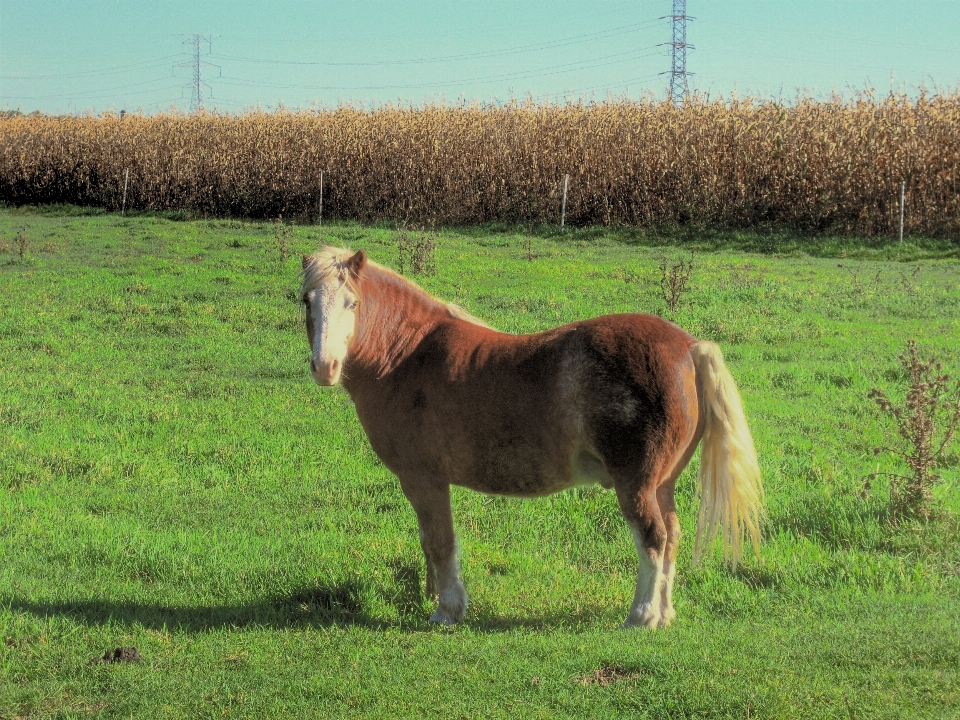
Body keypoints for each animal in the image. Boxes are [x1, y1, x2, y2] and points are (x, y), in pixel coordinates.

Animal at [300, 248, 764, 632]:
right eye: (307, 301)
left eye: (352, 303)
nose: (325, 367)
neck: (405, 355)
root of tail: (688, 346)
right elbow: (430, 542)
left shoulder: (423, 479)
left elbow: (440, 542)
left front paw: (447, 610)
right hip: (661, 484)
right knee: (671, 536)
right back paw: (663, 613)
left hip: (636, 485)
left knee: (653, 538)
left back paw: (641, 617)